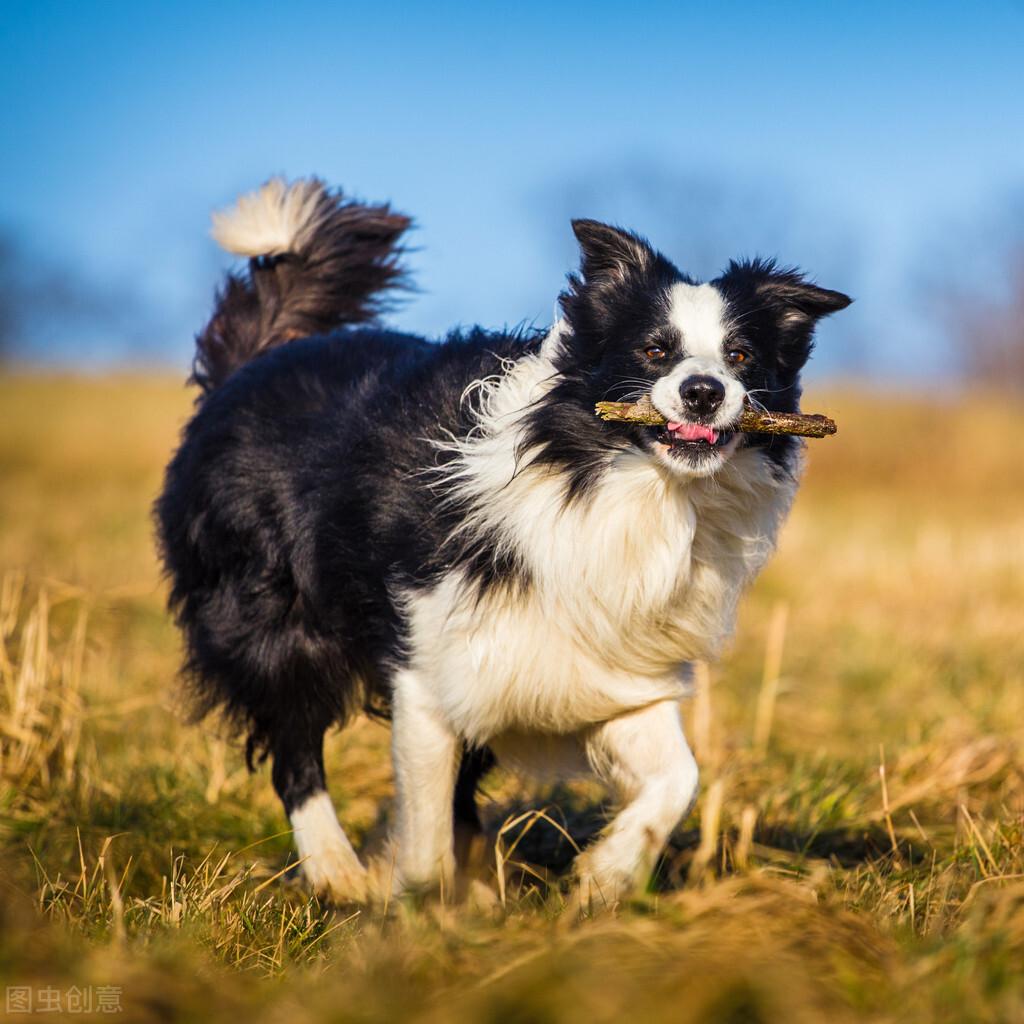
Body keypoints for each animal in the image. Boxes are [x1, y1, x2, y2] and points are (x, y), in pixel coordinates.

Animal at [157, 174, 847, 905]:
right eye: (655, 350)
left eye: (740, 356)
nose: (704, 391)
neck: (626, 489)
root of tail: (257, 360)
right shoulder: (428, 666)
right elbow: (425, 839)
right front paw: (419, 904)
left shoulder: (608, 667)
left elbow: (677, 780)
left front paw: (604, 876)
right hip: (274, 624)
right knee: (294, 750)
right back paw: (338, 874)